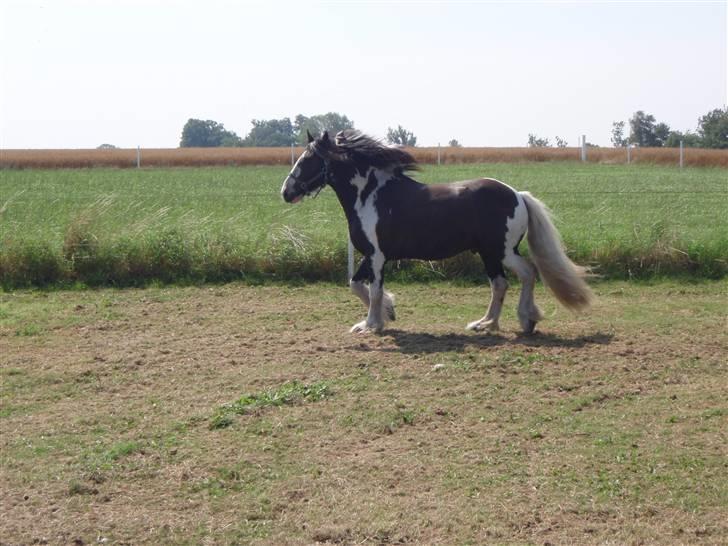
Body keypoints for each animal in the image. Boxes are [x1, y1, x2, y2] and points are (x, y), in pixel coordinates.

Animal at [280, 130, 592, 334]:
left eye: (307, 160)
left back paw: (526, 320)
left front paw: (371, 325)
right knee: (500, 284)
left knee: (527, 273)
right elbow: (356, 285)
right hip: (489, 254)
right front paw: (388, 313)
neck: (371, 196)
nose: (286, 192)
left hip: (501, 250)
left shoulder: (377, 257)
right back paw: (485, 324)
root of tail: (518, 194)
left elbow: (374, 289)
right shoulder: (370, 256)